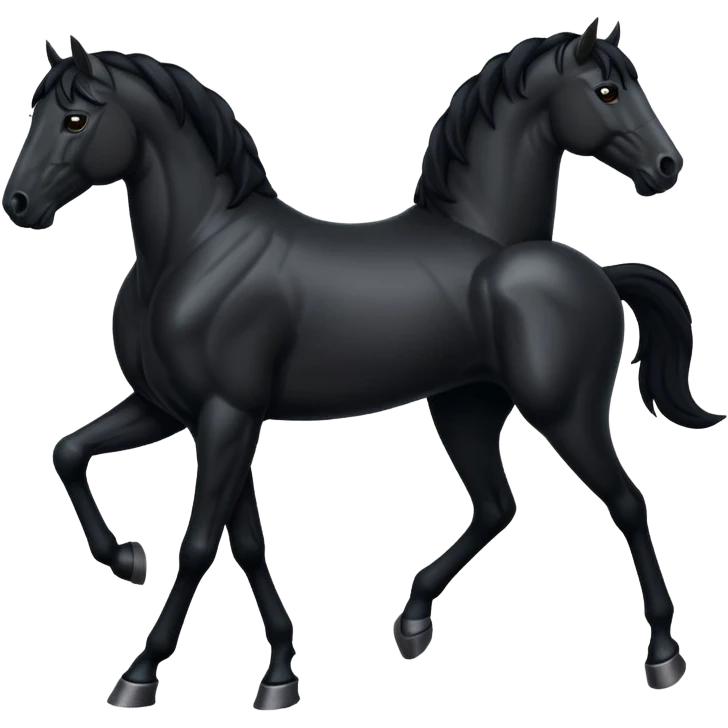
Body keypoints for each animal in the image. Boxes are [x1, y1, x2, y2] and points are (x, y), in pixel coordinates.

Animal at [6, 23, 720, 709]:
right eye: (608, 90)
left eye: (75, 119)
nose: (667, 165)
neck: (196, 251)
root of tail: (598, 272)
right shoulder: (180, 412)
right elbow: (90, 462)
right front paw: (259, 660)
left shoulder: (226, 416)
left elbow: (201, 543)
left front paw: (139, 674)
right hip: (464, 409)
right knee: (498, 503)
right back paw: (412, 623)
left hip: (565, 413)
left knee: (627, 503)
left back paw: (663, 657)